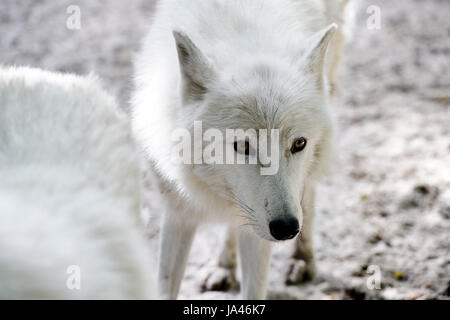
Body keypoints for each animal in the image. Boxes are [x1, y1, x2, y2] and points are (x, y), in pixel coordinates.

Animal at [133, 0, 352, 300]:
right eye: (243, 145)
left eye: (299, 143)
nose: (286, 228)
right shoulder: (178, 210)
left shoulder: (259, 233)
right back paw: (224, 267)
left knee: (308, 191)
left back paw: (302, 260)